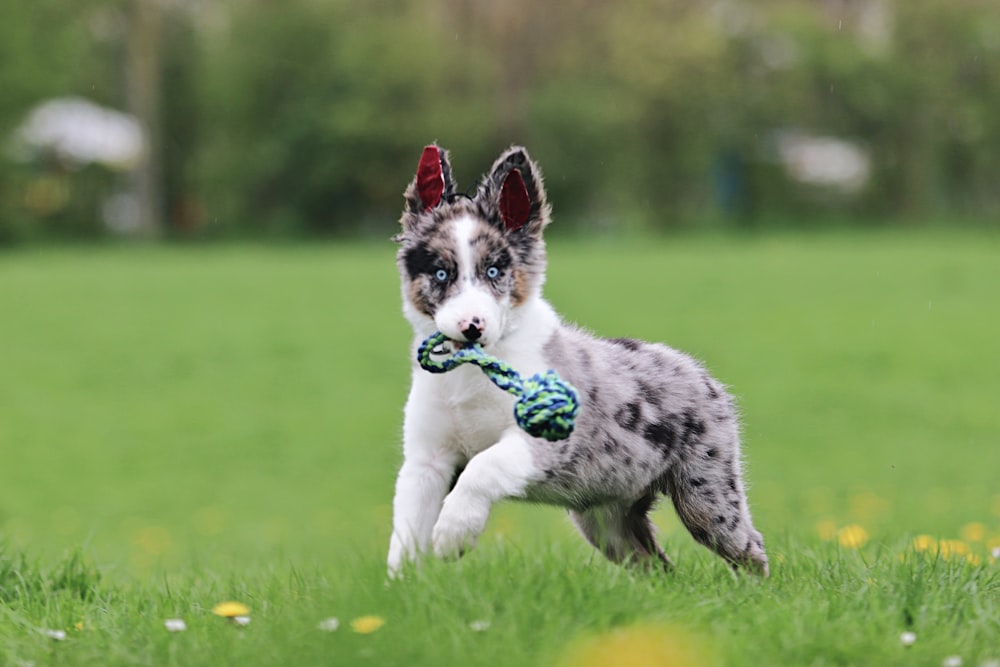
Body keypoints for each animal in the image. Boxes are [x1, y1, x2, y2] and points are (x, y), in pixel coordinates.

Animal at [386, 146, 768, 580]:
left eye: (494, 270)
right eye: (440, 273)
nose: (472, 326)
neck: (470, 375)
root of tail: (698, 371)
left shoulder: (541, 442)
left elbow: (482, 467)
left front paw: (453, 535)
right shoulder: (426, 459)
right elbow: (406, 529)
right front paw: (401, 586)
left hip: (705, 491)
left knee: (749, 547)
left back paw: (756, 590)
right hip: (606, 518)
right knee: (655, 565)